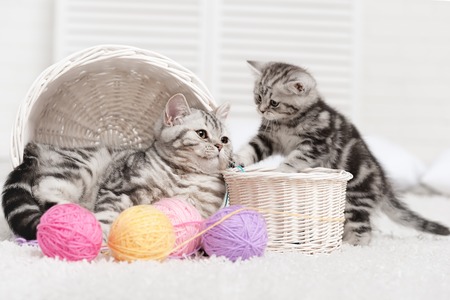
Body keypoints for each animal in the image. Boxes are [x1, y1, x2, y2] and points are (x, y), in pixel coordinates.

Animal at [3, 94, 234, 241]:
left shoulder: (200, 209)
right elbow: (107, 215)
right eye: (202, 134)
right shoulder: (118, 187)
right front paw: (103, 236)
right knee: (43, 188)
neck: (184, 176)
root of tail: (38, 146)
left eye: (225, 138)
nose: (219, 146)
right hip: (84, 166)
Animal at [236, 61, 450, 246]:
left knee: (364, 231)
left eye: (274, 103)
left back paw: (352, 246)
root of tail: (384, 185)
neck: (288, 123)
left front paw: (281, 170)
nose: (261, 110)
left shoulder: (317, 143)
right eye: (258, 97)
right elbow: (251, 149)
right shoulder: (267, 139)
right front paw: (237, 159)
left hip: (355, 200)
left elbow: (296, 158)